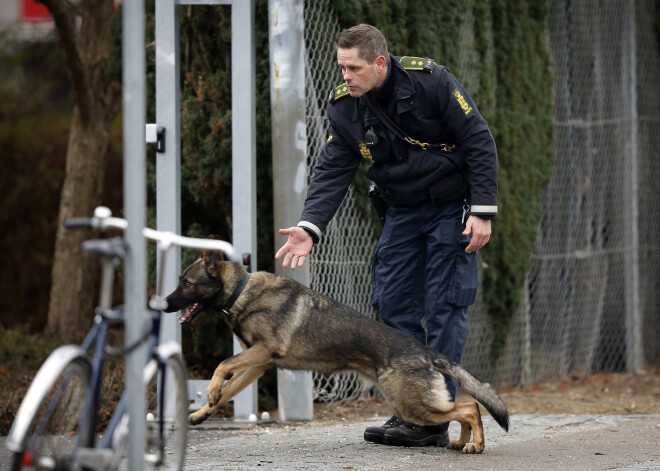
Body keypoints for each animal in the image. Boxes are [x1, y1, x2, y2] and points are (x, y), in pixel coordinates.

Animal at [166, 251, 510, 454]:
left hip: (412, 406)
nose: (163, 303)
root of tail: (426, 351)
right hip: (415, 403)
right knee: (464, 407)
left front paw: (209, 393)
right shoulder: (257, 364)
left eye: (187, 283)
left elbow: (222, 366)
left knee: (470, 409)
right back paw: (463, 441)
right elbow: (227, 389)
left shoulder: (262, 352)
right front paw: (201, 413)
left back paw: (476, 445)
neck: (241, 291)